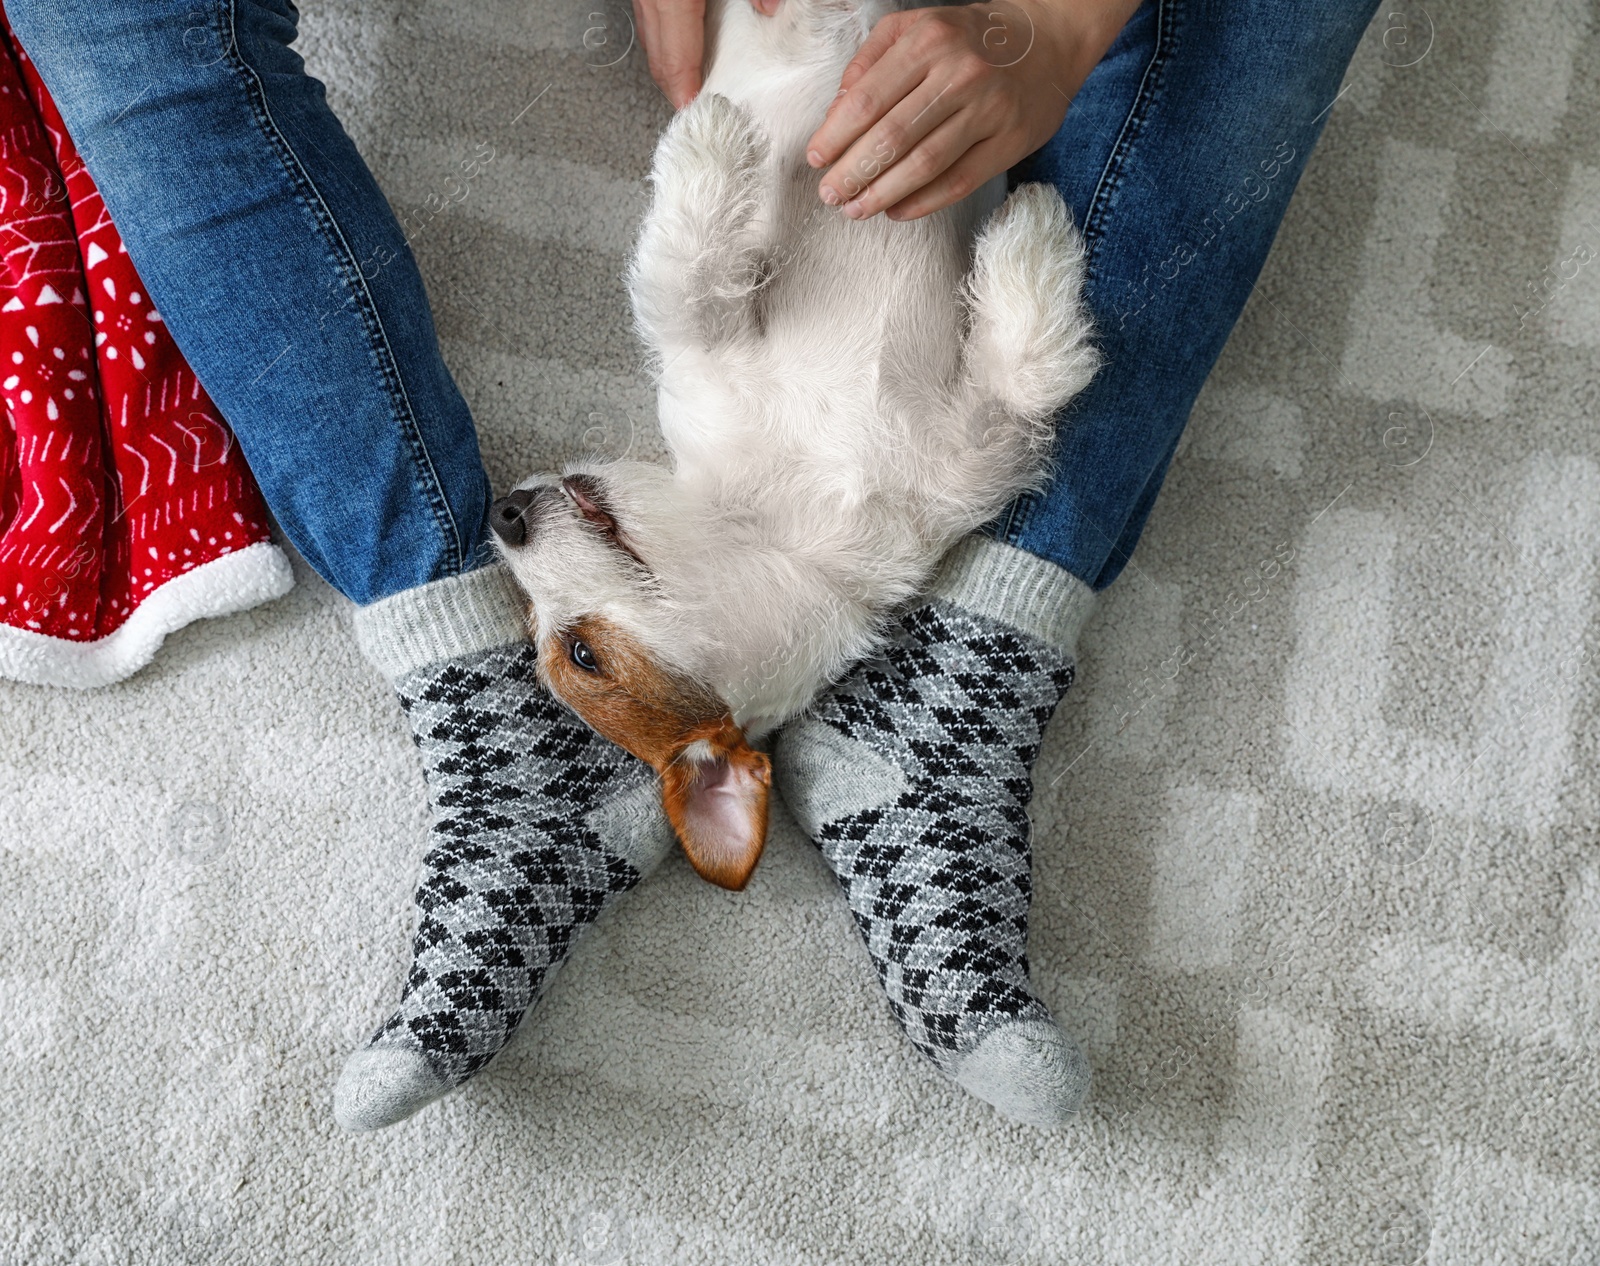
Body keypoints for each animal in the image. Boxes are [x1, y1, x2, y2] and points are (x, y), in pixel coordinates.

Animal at [492, 0, 1100, 889]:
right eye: (578, 652)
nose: (500, 514)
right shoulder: (703, 346)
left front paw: (1032, 236)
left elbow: (1032, 370)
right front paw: (710, 137)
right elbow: (684, 273)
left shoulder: (980, 446)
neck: (797, 524)